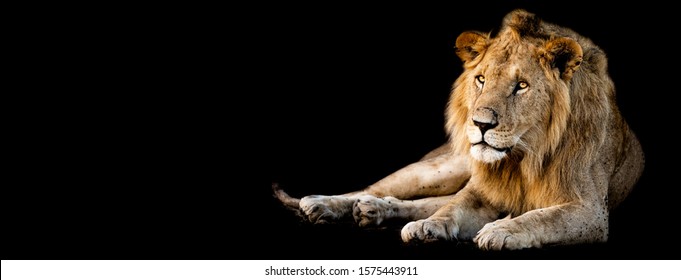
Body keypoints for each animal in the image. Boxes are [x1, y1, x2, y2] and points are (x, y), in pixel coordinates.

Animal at [272, 8, 644, 250]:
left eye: (521, 86)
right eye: (481, 79)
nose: (480, 124)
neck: (523, 156)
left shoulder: (590, 210)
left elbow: (542, 218)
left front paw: (501, 230)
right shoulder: (481, 193)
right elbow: (452, 208)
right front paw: (431, 226)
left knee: (414, 199)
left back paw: (373, 211)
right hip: (440, 167)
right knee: (377, 188)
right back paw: (323, 204)